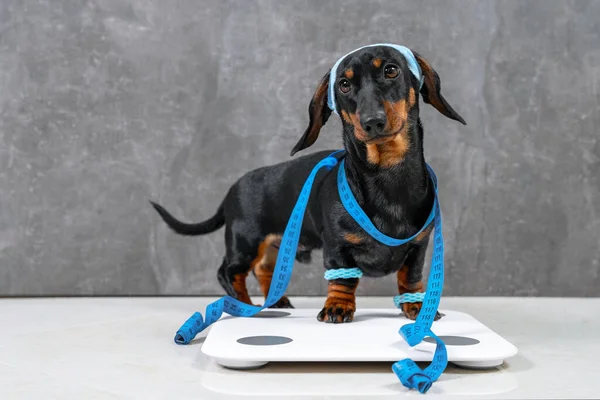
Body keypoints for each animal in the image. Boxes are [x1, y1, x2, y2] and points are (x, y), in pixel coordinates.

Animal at [149, 45, 464, 324]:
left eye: (391, 70)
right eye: (344, 85)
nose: (372, 122)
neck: (386, 174)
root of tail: (231, 190)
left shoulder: (418, 248)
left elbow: (410, 279)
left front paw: (416, 307)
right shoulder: (337, 246)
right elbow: (342, 280)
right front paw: (338, 306)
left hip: (273, 244)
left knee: (264, 269)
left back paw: (276, 300)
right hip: (245, 242)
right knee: (228, 272)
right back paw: (245, 304)